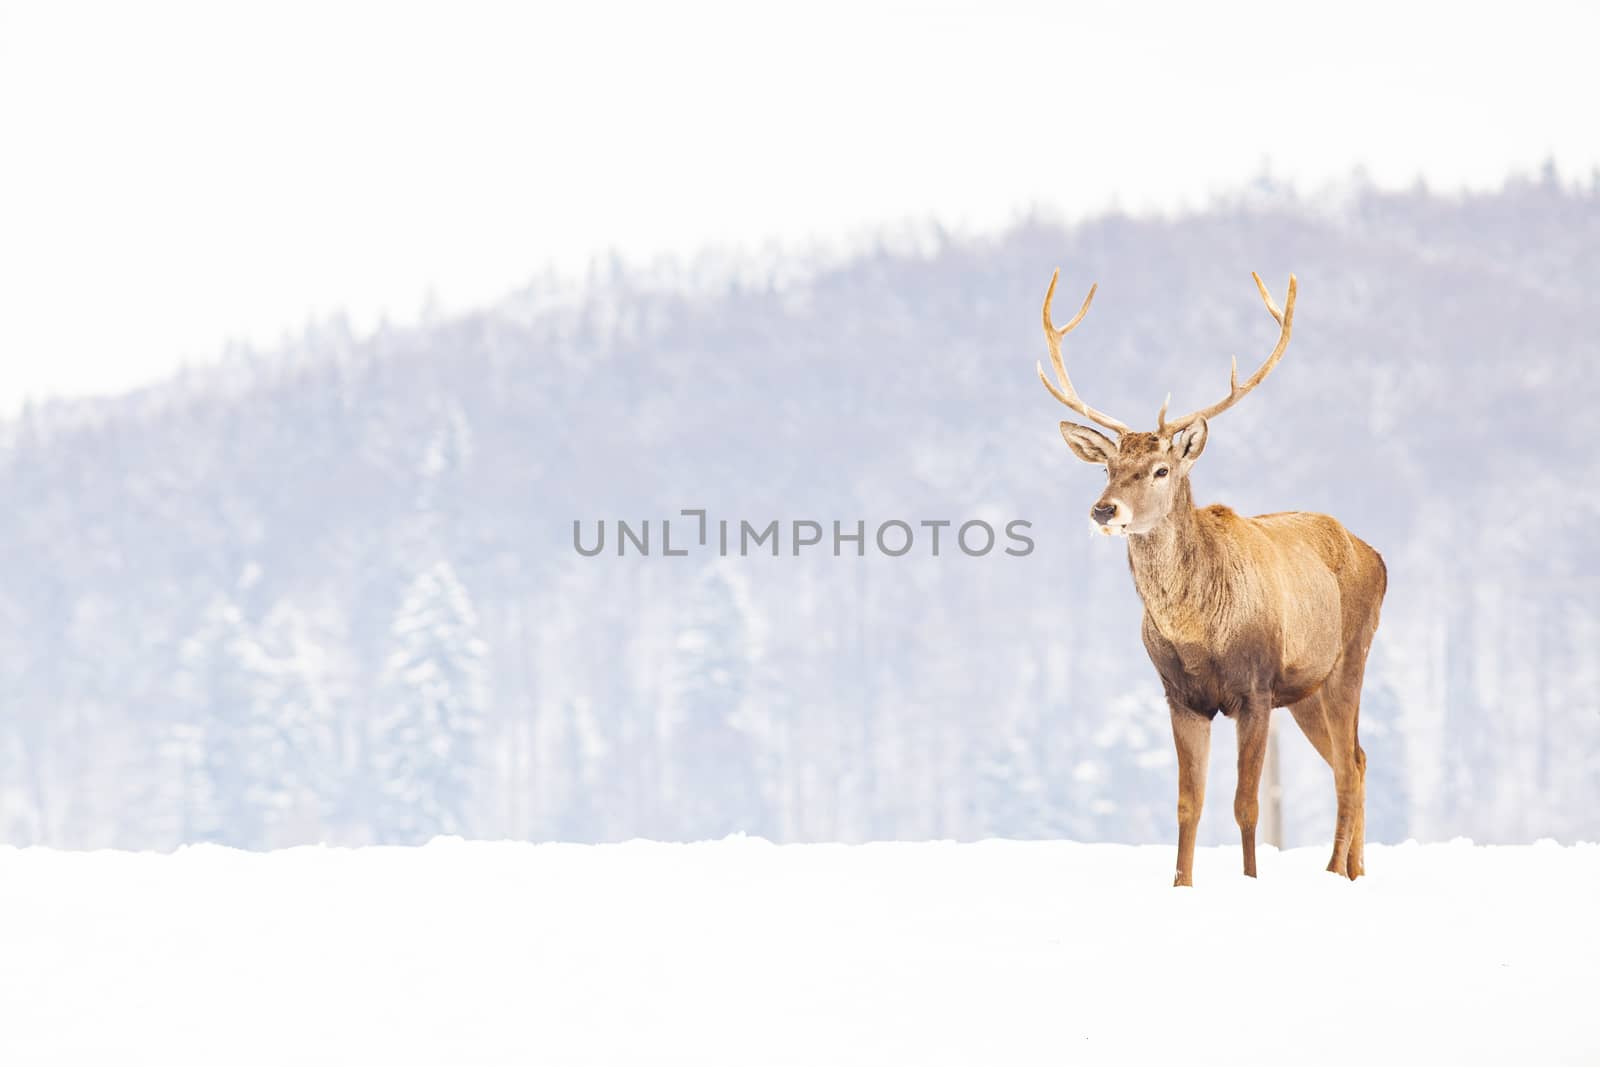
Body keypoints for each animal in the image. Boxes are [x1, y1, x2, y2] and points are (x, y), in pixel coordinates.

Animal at [1036, 267, 1388, 883]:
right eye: (1107, 467)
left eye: (1161, 469)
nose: (1104, 510)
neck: (1197, 633)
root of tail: (1379, 557)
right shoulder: (1179, 695)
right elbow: (1188, 803)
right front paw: (1181, 883)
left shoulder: (1255, 688)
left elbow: (1246, 804)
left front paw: (1249, 880)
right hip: (1305, 691)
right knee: (1359, 759)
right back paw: (1353, 871)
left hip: (1349, 657)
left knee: (1349, 765)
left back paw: (1332, 871)